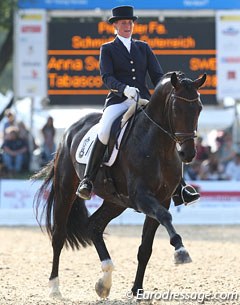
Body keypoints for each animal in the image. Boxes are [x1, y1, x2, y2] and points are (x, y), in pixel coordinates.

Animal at [33, 72, 206, 298]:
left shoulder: (162, 199)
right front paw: (181, 251)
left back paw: (104, 281)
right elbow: (165, 217)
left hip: (116, 201)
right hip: (66, 190)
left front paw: (137, 289)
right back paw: (54, 287)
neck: (159, 147)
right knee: (59, 236)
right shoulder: (142, 197)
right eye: (176, 108)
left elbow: (145, 249)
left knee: (94, 226)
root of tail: (72, 129)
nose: (188, 154)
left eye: (199, 108)